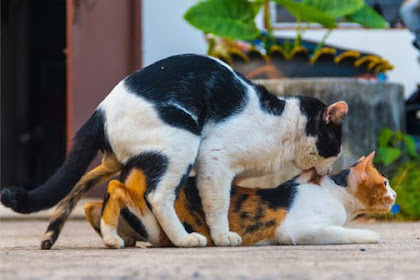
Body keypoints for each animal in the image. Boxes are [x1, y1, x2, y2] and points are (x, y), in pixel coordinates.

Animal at [0, 53, 348, 248]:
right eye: (336, 147)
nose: (331, 170)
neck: (281, 122)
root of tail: (100, 111)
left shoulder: (223, 172)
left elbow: (226, 199)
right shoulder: (214, 157)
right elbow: (218, 203)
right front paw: (222, 236)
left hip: (136, 158)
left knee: (115, 188)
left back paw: (114, 237)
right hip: (184, 137)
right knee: (156, 196)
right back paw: (182, 239)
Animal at [86, 151, 398, 247]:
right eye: (384, 183)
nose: (394, 195)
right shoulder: (297, 229)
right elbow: (345, 232)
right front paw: (371, 235)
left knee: (91, 204)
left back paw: (117, 235)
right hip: (154, 222)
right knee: (115, 188)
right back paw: (111, 236)